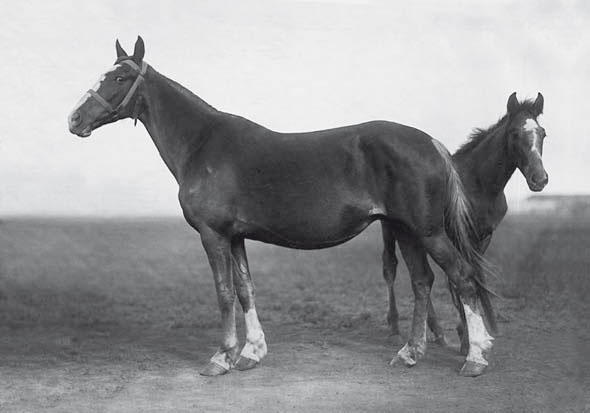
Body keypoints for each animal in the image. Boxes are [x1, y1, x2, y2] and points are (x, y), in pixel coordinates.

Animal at [71, 36, 502, 376]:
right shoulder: (236, 237)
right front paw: (251, 353)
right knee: (422, 282)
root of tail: (431, 143)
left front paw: (221, 358)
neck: (202, 144)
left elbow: (224, 291)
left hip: (428, 231)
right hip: (404, 229)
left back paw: (475, 359)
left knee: (462, 277)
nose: (74, 120)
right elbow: (246, 289)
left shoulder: (213, 235)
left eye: (120, 78)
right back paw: (410, 353)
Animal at [384, 91, 552, 352]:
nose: (539, 179)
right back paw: (394, 326)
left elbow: (473, 277)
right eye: (514, 133)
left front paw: (474, 334)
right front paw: (466, 339)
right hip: (392, 228)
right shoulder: (458, 236)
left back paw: (437, 332)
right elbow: (459, 279)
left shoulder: (483, 236)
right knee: (390, 267)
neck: (479, 185)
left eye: (542, 133)